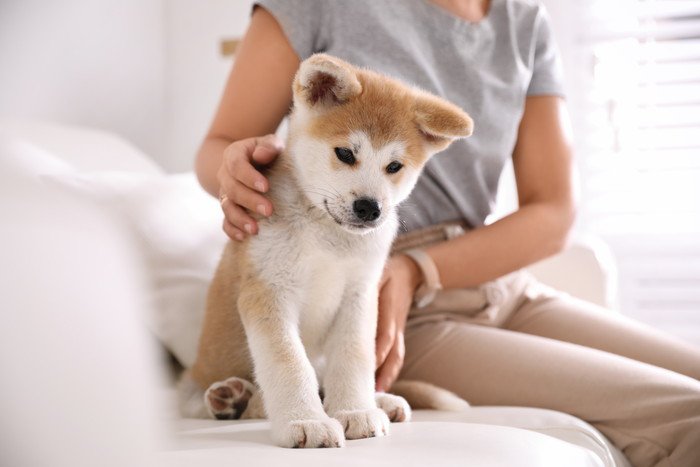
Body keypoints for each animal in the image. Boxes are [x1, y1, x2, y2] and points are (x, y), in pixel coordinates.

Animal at [180, 53, 474, 448]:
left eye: (394, 166)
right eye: (345, 153)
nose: (370, 207)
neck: (327, 236)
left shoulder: (359, 295)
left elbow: (353, 358)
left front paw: (355, 410)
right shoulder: (269, 290)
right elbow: (289, 361)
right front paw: (305, 420)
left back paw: (382, 400)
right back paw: (234, 398)